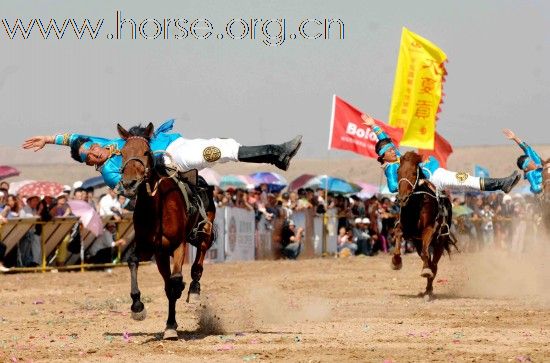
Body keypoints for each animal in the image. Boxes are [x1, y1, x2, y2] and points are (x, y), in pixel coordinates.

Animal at [118, 123, 216, 342]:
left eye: (146, 152)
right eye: (122, 152)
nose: (129, 184)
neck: (156, 210)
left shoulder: (179, 245)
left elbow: (176, 280)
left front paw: (171, 325)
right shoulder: (150, 249)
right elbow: (132, 261)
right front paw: (137, 306)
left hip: (204, 230)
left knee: (199, 258)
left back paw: (194, 290)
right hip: (163, 255)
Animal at [392, 151, 458, 302]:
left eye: (413, 173)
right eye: (398, 171)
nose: (401, 199)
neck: (416, 204)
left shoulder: (429, 229)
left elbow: (427, 254)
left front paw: (426, 271)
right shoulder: (406, 230)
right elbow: (398, 234)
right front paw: (396, 261)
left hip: (440, 242)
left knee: (434, 264)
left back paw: (428, 288)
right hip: (417, 243)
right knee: (426, 257)